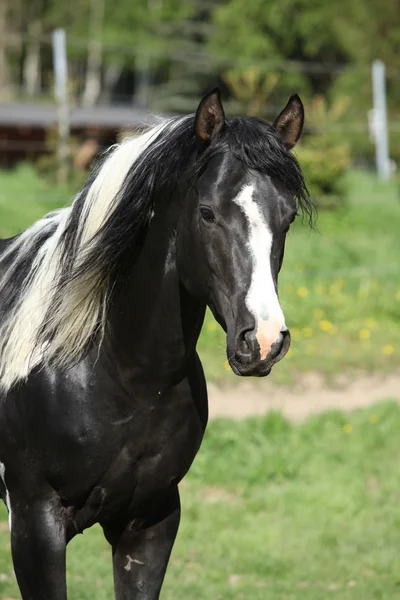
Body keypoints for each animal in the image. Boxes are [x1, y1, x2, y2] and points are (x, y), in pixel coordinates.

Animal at [0, 89, 314, 600]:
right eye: (207, 212)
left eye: (286, 219)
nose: (264, 341)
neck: (122, 376)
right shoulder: (34, 526)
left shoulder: (151, 523)